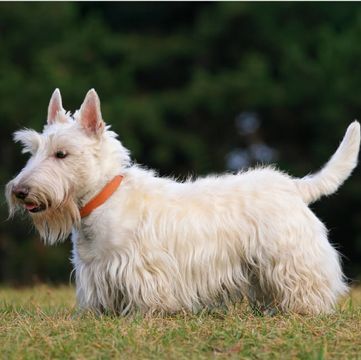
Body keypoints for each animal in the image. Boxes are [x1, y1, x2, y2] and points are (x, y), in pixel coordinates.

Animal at [6, 89, 360, 316]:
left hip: (289, 257)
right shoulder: (95, 272)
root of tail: (293, 187)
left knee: (306, 284)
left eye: (61, 154)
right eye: (32, 151)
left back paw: (304, 310)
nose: (20, 191)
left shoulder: (142, 269)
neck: (103, 198)